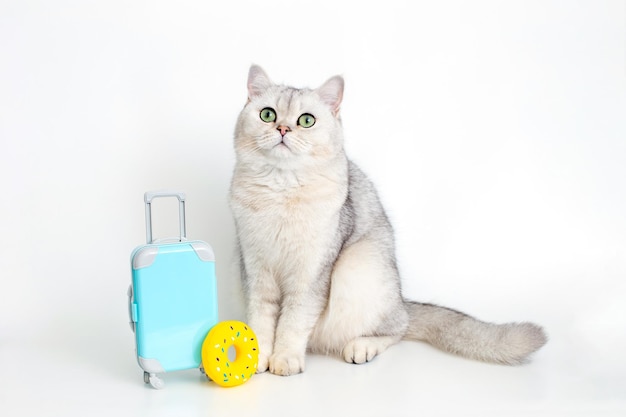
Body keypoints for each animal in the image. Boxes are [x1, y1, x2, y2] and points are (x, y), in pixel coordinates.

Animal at [227, 64, 544, 374]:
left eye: (306, 120)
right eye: (267, 115)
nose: (282, 128)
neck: (281, 190)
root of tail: (402, 301)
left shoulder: (311, 273)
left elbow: (293, 321)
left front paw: (285, 359)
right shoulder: (255, 268)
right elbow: (261, 320)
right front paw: (257, 358)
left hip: (357, 271)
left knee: (397, 329)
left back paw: (362, 348)